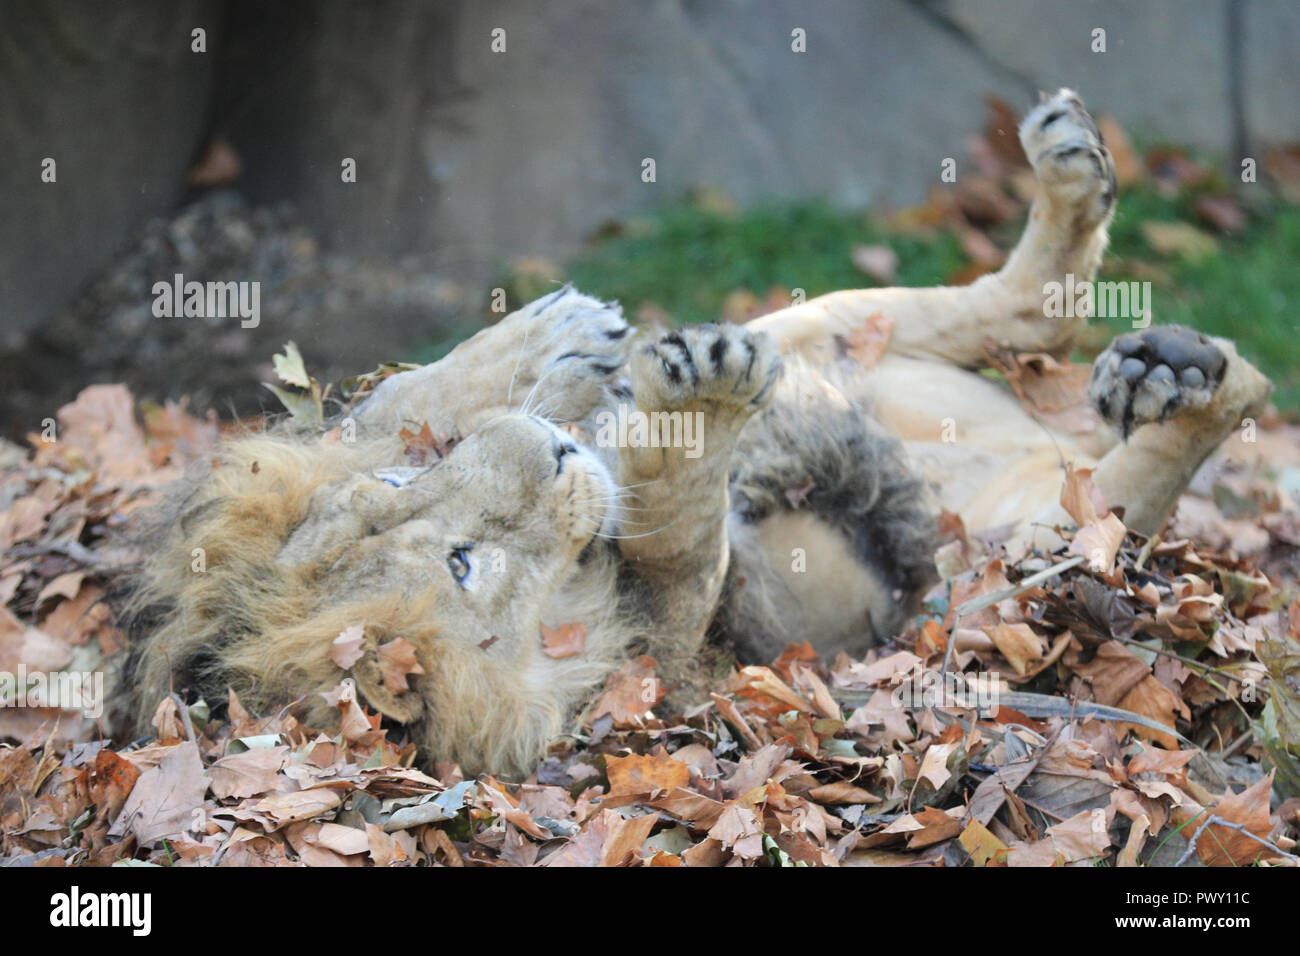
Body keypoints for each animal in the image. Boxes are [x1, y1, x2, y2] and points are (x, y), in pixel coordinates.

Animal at [129, 89, 1268, 780]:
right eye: (462, 563)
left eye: (421, 489)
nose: (549, 451)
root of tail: (1045, 459)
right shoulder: (677, 651)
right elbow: (681, 538)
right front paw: (693, 411)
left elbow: (398, 395)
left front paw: (568, 350)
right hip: (1001, 570)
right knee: (1148, 464)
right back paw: (1181, 377)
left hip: (833, 329)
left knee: (1024, 309)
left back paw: (1100, 230)